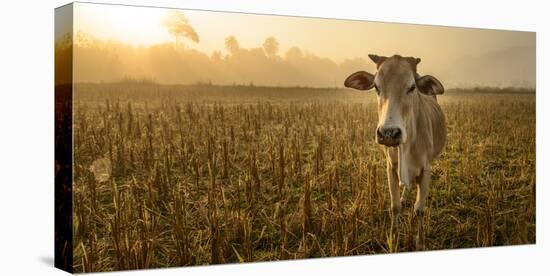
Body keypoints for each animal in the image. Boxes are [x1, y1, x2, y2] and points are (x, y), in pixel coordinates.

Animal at [344, 54, 448, 250]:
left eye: (412, 87)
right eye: (376, 87)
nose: (388, 133)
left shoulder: (426, 169)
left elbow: (419, 209)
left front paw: (420, 241)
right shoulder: (391, 167)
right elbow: (395, 206)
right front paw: (394, 236)